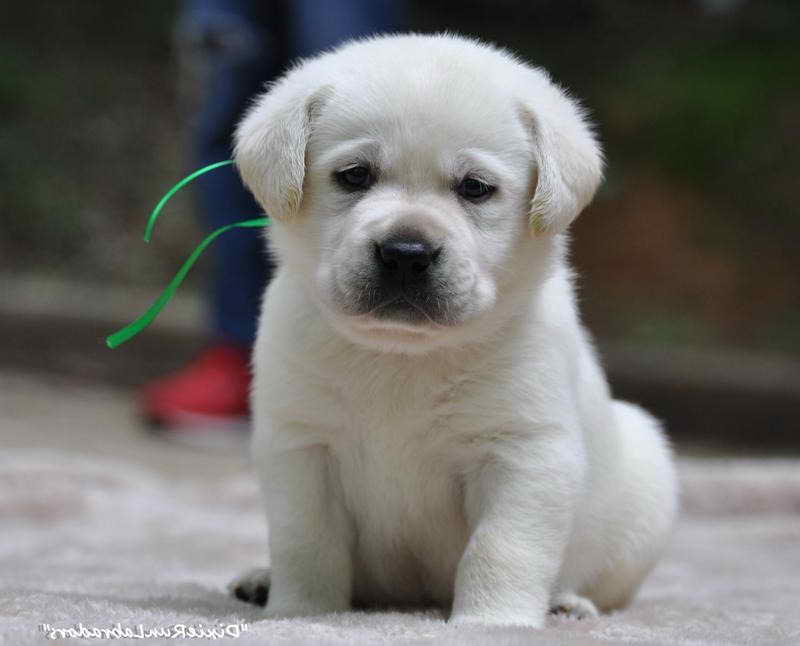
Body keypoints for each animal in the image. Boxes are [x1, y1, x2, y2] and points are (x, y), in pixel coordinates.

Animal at [228, 33, 680, 632]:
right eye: (354, 175)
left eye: (475, 188)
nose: (405, 253)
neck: (403, 356)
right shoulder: (300, 444)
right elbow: (305, 543)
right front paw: (300, 614)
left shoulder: (524, 453)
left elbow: (501, 548)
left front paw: (494, 623)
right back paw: (260, 581)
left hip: (645, 478)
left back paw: (567, 603)